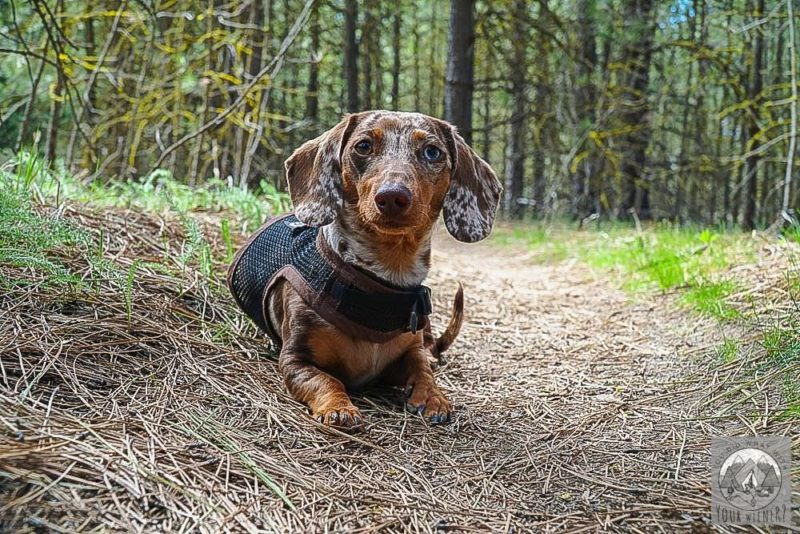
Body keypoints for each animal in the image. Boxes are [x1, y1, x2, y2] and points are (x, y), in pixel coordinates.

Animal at [248, 112, 500, 432]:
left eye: (432, 152)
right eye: (363, 146)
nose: (392, 197)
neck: (383, 276)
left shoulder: (409, 352)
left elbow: (423, 369)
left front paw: (433, 397)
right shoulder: (295, 359)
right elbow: (325, 380)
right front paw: (339, 408)